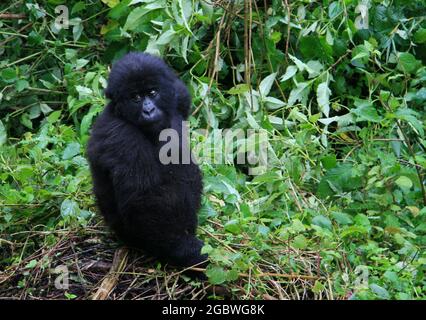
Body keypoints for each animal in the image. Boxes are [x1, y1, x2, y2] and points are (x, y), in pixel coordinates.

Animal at [86, 52, 206, 270]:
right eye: (135, 98)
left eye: (152, 92)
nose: (148, 110)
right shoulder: (122, 138)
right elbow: (143, 203)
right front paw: (188, 253)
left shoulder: (178, 96)